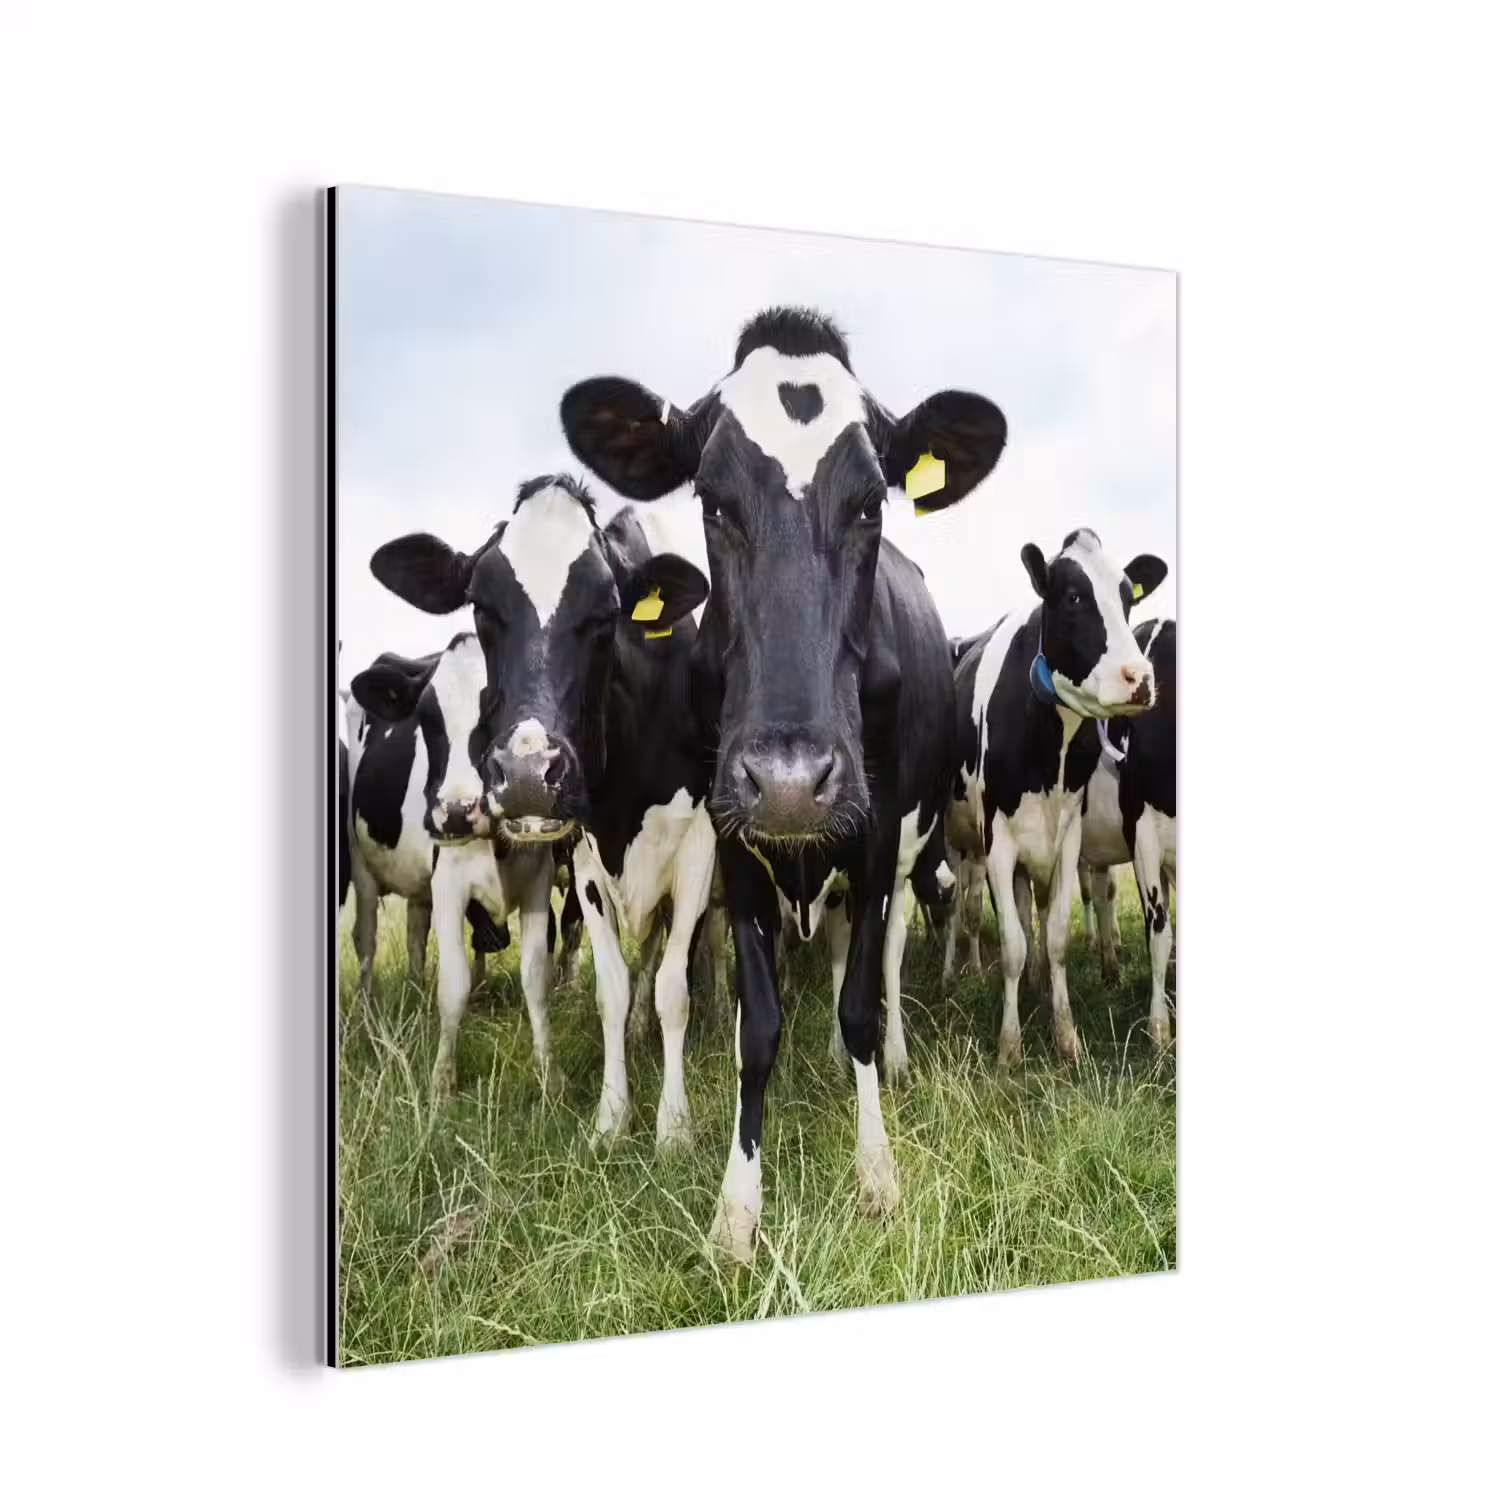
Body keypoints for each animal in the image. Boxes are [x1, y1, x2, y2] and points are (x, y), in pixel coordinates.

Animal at [346, 634, 556, 1097]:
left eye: (497, 707)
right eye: (426, 718)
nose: (458, 811)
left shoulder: (539, 879)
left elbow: (536, 978)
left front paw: (548, 1073)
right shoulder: (448, 885)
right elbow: (454, 984)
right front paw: (443, 1082)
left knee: (413, 937)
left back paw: (415, 997)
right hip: (362, 867)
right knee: (366, 942)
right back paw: (370, 1022)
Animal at [560, 305, 1008, 1263]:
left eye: (871, 501)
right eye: (711, 500)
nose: (794, 782)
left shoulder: (875, 842)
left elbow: (862, 1002)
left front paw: (877, 1172)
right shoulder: (732, 845)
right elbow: (755, 1027)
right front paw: (737, 1210)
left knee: (880, 957)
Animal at [947, 528, 1167, 1066]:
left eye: (1128, 598)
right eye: (1072, 597)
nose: (1141, 678)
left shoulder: (1067, 840)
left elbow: (1057, 937)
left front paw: (1066, 1035)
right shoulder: (997, 843)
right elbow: (1011, 942)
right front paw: (1009, 1047)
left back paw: (1040, 986)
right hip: (959, 845)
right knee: (963, 911)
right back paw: (959, 975)